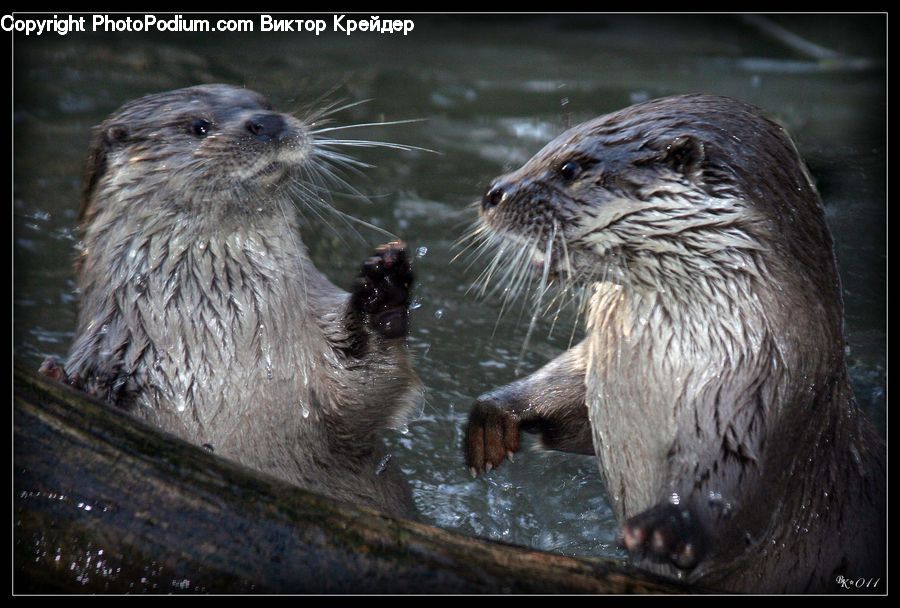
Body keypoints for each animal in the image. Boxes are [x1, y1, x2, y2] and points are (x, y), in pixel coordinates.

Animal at [41, 84, 422, 519]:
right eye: (199, 125)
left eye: (267, 104)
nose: (268, 122)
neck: (219, 334)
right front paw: (61, 378)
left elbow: (367, 393)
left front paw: (383, 291)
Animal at [463, 94, 885, 592]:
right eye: (547, 146)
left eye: (570, 168)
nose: (494, 192)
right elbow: (569, 395)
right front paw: (496, 412)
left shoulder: (756, 402)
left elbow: (731, 483)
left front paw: (666, 529)